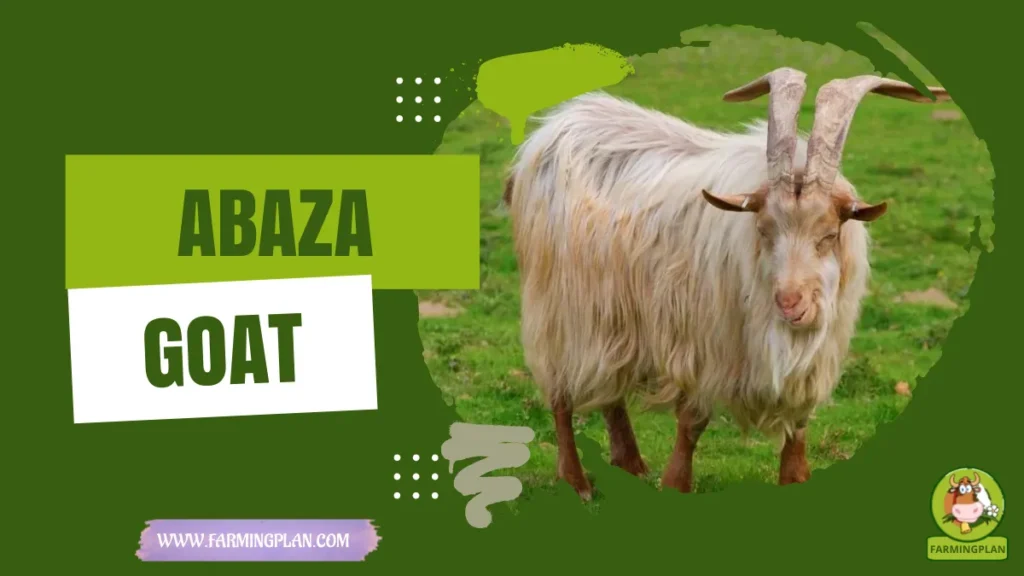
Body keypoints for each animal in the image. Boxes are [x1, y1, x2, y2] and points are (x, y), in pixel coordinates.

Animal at [502, 68, 950, 499]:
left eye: (829, 234)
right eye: (764, 229)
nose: (790, 303)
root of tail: (553, 126)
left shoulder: (808, 368)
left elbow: (797, 431)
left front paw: (795, 480)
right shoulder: (704, 346)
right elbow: (691, 422)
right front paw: (675, 485)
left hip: (612, 316)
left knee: (611, 389)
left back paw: (631, 465)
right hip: (557, 308)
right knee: (560, 395)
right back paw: (576, 481)